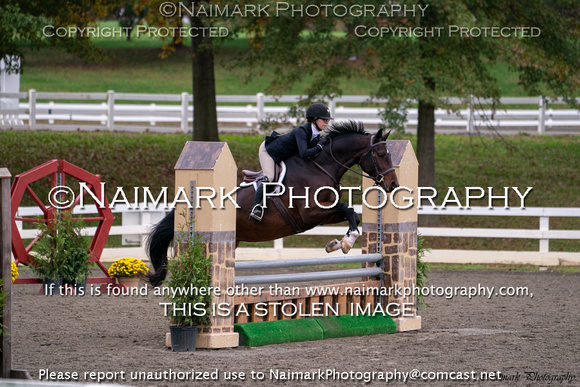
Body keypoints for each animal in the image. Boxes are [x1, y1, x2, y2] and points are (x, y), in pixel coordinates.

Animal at [147, 122, 398, 288]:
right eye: (381, 154)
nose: (394, 185)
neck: (320, 166)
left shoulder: (325, 214)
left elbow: (352, 214)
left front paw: (338, 243)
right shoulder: (309, 214)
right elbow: (347, 208)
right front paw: (344, 243)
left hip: (235, 241)